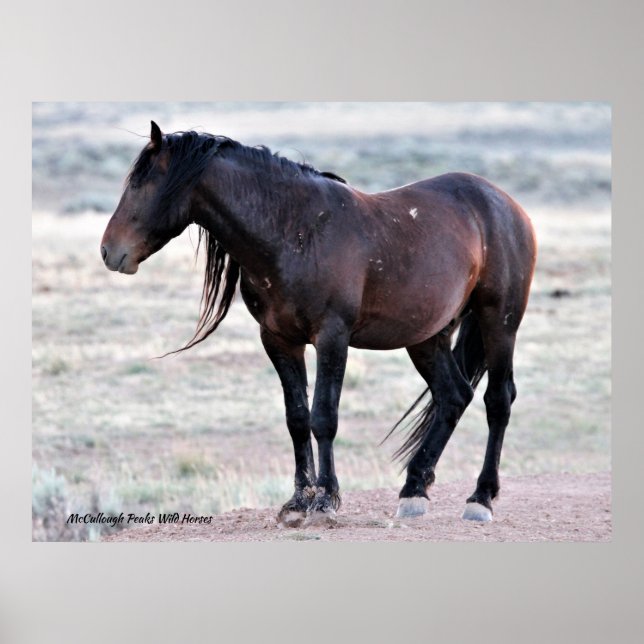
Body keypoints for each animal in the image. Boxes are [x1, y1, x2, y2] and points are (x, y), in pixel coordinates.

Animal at [101, 121, 537, 527]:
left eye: (142, 184)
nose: (109, 251)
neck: (294, 231)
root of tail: (506, 204)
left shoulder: (332, 337)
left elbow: (323, 417)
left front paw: (325, 500)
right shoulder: (278, 339)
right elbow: (296, 418)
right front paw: (298, 502)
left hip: (499, 322)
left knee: (498, 400)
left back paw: (480, 499)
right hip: (428, 337)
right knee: (453, 396)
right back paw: (413, 492)